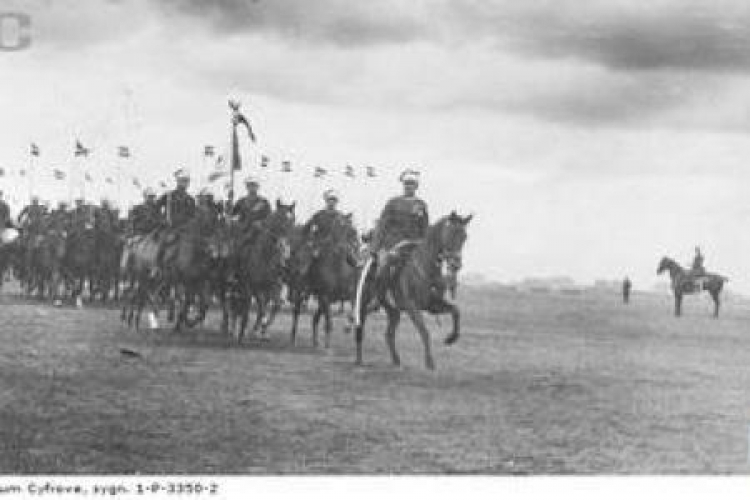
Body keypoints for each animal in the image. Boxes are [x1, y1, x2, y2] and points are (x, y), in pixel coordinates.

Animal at [356, 212, 472, 372]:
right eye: (451, 233)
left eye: (464, 236)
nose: (456, 264)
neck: (425, 268)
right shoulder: (411, 307)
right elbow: (425, 331)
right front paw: (430, 363)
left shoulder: (432, 305)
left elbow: (456, 311)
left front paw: (451, 338)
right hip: (365, 301)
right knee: (360, 323)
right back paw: (359, 359)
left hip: (393, 311)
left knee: (388, 334)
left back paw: (396, 361)